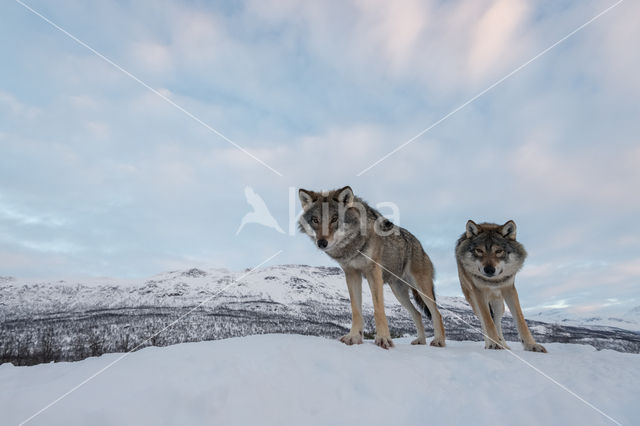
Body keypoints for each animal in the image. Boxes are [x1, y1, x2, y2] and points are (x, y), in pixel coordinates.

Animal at [296, 186, 442, 350]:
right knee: (417, 314)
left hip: (421, 289)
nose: (321, 243)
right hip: (399, 292)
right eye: (315, 220)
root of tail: (419, 244)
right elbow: (356, 310)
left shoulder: (374, 273)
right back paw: (421, 341)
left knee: (437, 313)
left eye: (334, 219)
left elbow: (378, 310)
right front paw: (354, 337)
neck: (352, 245)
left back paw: (439, 341)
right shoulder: (352, 273)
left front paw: (383, 339)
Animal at [458, 220, 548, 352]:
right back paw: (490, 344)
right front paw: (493, 344)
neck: (493, 282)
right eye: (479, 250)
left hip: (499, 304)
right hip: (473, 301)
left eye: (499, 251)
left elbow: (520, 320)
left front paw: (531, 345)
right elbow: (488, 321)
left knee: (497, 322)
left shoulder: (509, 289)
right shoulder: (479, 292)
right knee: (484, 321)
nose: (489, 270)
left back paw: (503, 345)